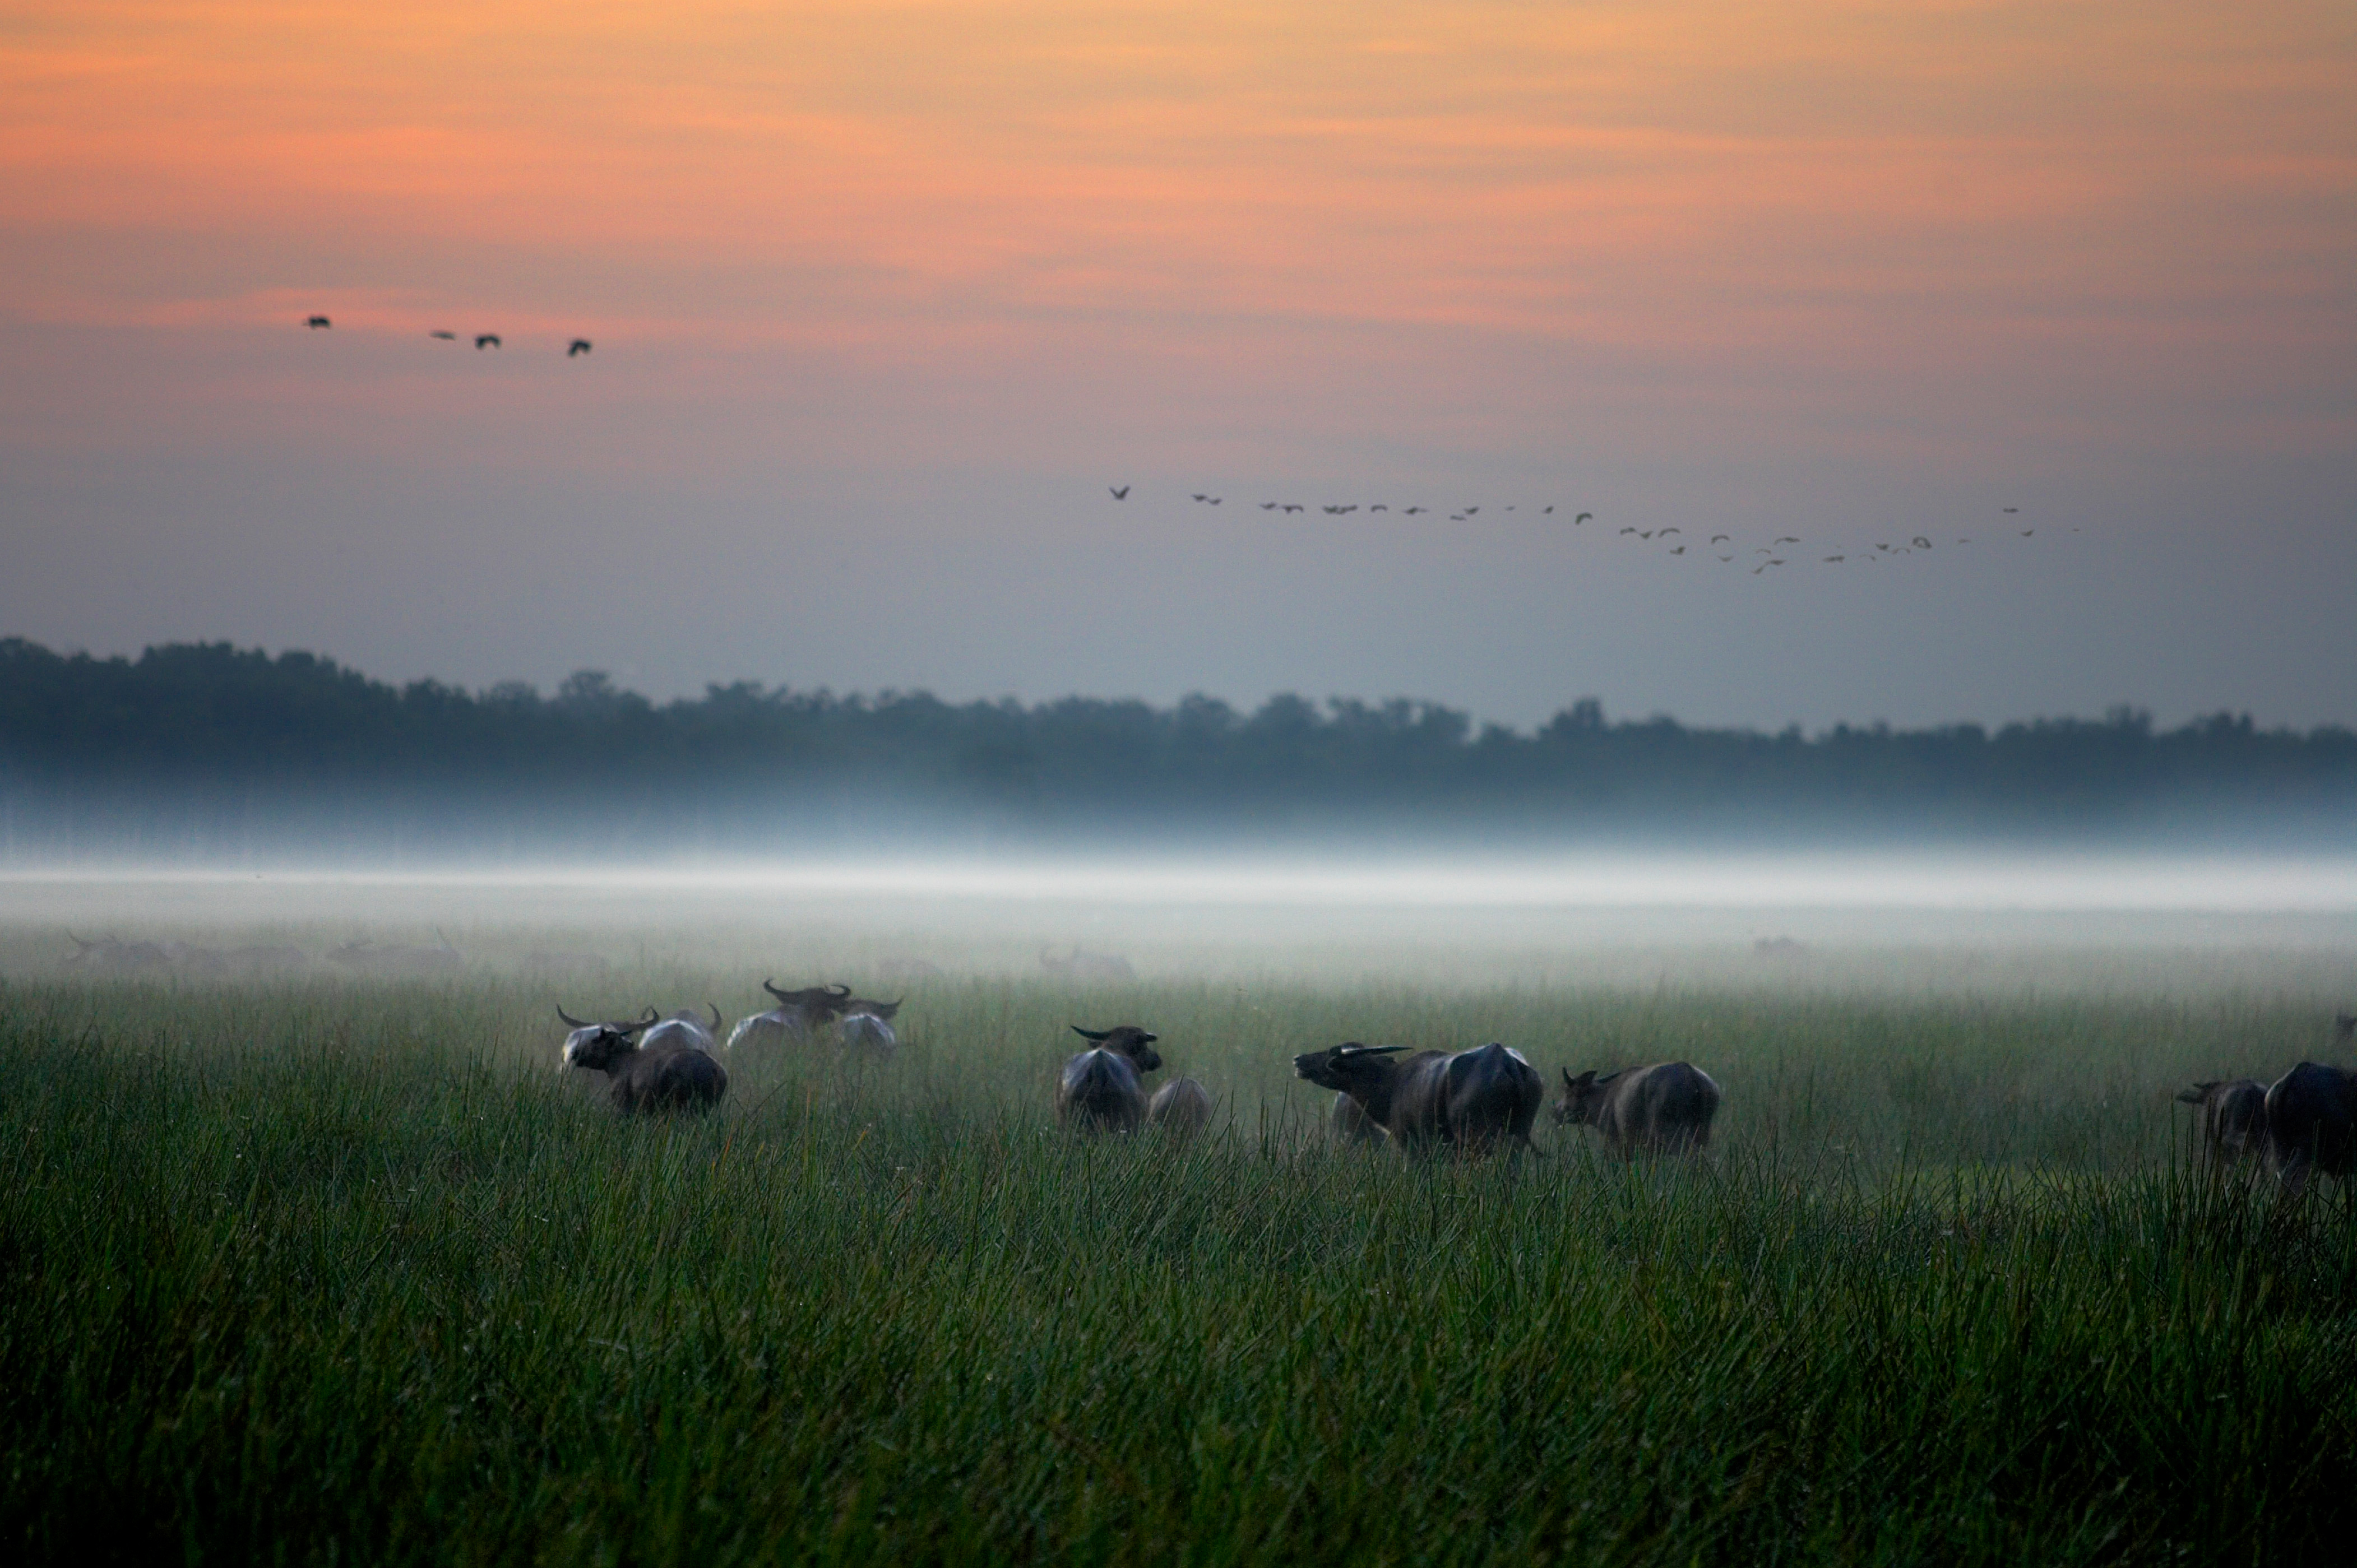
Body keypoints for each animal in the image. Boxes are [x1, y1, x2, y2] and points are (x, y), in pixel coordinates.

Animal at [1292, 1041, 1542, 1156]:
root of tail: (1505, 1061)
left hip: (1481, 1137)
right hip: (1518, 1134)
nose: (1298, 1059)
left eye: (1329, 1054)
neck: (1392, 1084)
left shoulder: (1413, 1146)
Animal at [1553, 1063, 1722, 1157]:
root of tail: (1694, 1078)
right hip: (1702, 1132)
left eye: (1568, 1092)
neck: (1600, 1103)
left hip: (1670, 1131)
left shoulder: (1614, 1139)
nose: (1555, 1111)